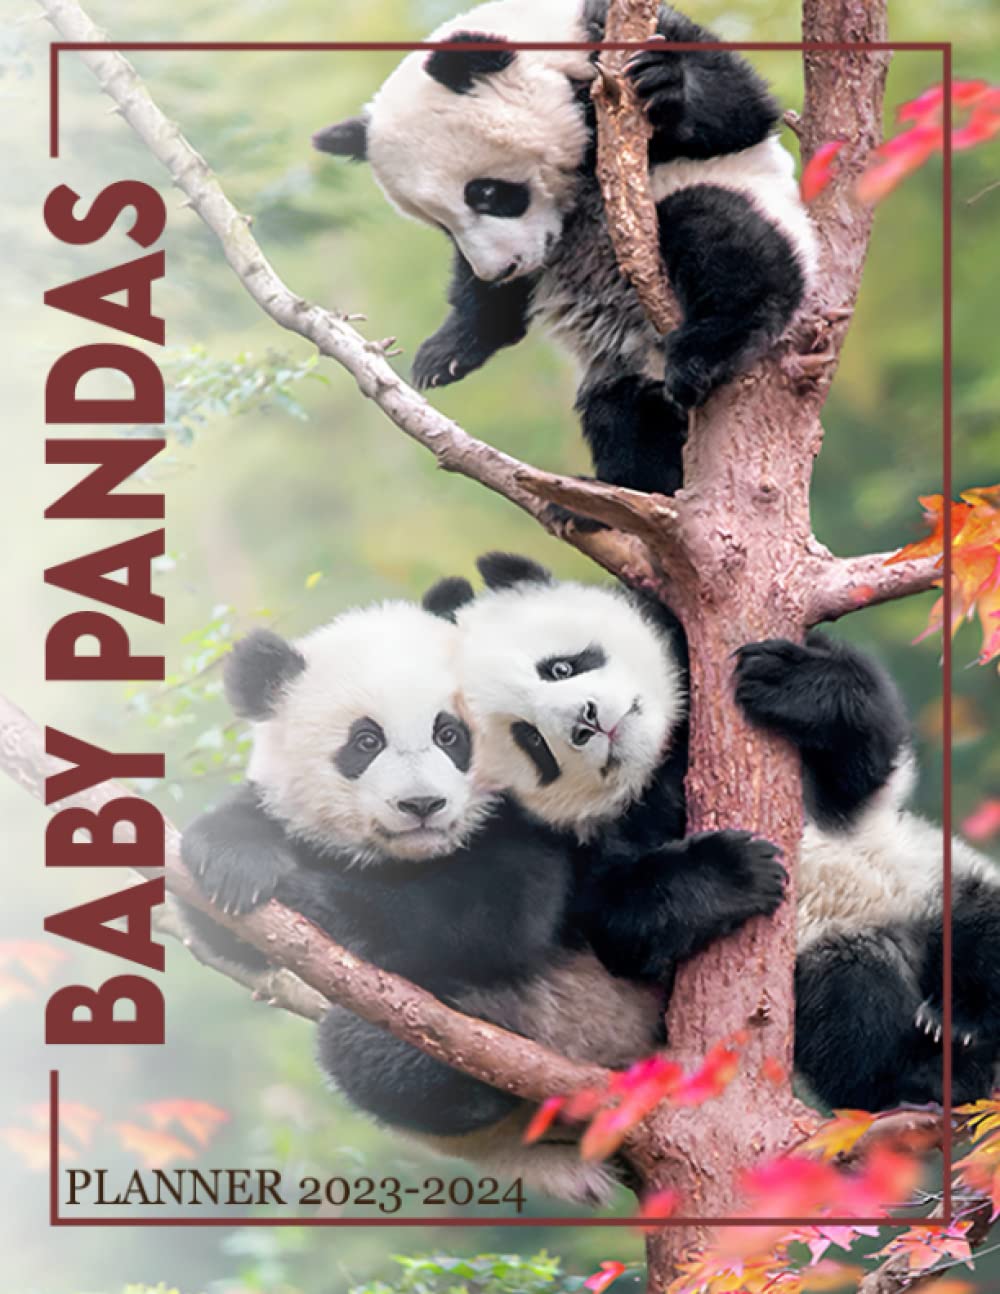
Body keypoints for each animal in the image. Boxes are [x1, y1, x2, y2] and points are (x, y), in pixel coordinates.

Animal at [180, 599, 669, 1205]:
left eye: (450, 734)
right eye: (365, 742)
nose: (422, 804)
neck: (408, 857)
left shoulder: (520, 827)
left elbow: (490, 912)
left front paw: (312, 897)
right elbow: (227, 916)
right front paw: (233, 863)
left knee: (363, 1045)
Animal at [312, 0, 818, 498]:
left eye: (487, 193)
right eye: (442, 225)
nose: (503, 269)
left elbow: (740, 109)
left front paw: (662, 81)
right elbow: (478, 293)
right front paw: (444, 355)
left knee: (721, 237)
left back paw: (703, 352)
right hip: (622, 372)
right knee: (622, 416)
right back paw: (623, 496)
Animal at [429, 553, 1000, 1111]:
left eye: (561, 667)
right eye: (531, 741)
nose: (587, 723)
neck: (659, 761)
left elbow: (865, 762)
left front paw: (791, 684)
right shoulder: (575, 846)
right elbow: (619, 920)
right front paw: (735, 871)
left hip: (928, 877)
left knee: (977, 925)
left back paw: (963, 1023)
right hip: (828, 955)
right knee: (850, 1010)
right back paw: (930, 1074)